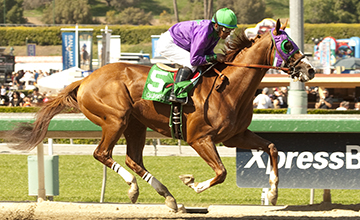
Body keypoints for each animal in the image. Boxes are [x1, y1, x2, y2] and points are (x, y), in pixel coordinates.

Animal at [6, 20, 316, 211]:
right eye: (287, 45)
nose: (310, 70)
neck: (228, 88)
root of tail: (85, 79)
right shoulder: (199, 138)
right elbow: (221, 172)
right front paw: (195, 184)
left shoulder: (235, 136)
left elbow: (272, 147)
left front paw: (273, 192)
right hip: (115, 119)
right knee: (102, 153)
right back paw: (134, 188)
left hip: (135, 125)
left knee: (133, 159)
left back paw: (168, 197)